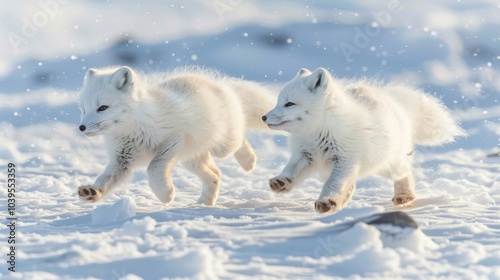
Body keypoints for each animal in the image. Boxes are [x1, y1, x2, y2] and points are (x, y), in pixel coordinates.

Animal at [76, 66, 276, 206]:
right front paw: (92, 192)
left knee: (239, 139)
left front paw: (165, 194)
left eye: (103, 108)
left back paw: (248, 161)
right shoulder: (122, 159)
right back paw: (204, 203)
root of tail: (222, 85)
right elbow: (105, 178)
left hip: (221, 148)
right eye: (83, 109)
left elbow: (153, 167)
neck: (131, 129)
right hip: (191, 158)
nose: (81, 127)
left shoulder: (173, 138)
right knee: (215, 174)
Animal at [264, 69, 462, 213]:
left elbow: (332, 183)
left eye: (289, 104)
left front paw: (326, 201)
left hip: (387, 165)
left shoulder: (344, 160)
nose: (263, 117)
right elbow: (291, 170)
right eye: (278, 101)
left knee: (406, 171)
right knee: (351, 186)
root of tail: (394, 101)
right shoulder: (306, 154)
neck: (319, 131)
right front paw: (281, 182)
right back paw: (339, 203)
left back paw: (404, 196)